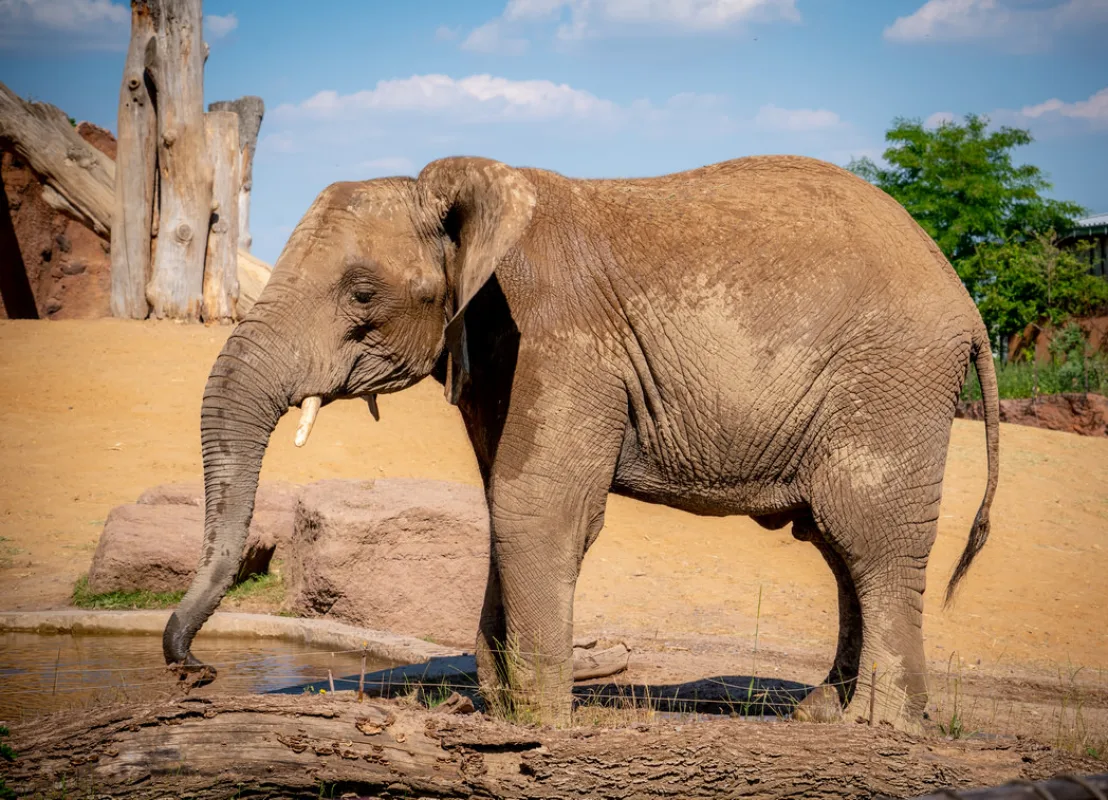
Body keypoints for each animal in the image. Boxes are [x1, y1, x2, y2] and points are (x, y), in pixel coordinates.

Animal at [163, 154, 999, 732]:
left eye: (361, 293)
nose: (196, 671)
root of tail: (966, 300)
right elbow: (501, 501)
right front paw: (500, 710)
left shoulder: (565, 341)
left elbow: (534, 507)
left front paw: (540, 722)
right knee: (835, 542)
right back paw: (820, 713)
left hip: (891, 383)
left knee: (870, 535)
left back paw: (880, 725)